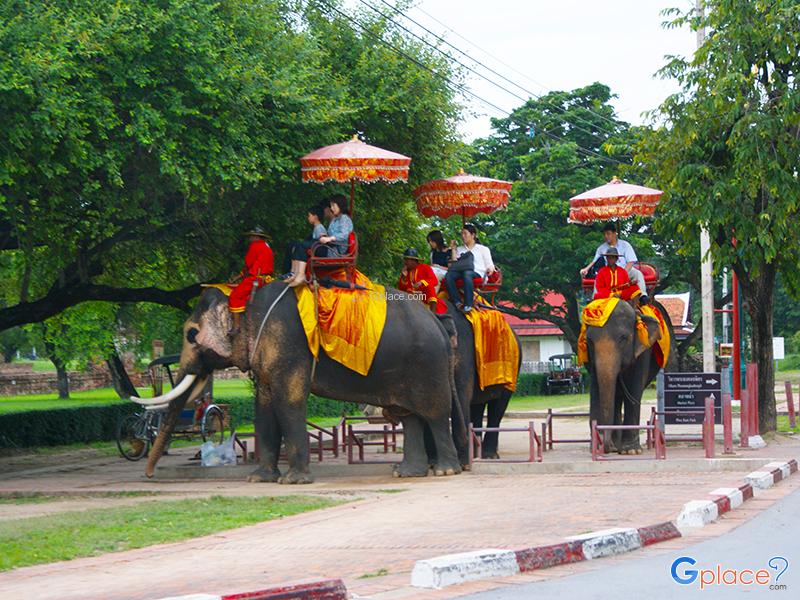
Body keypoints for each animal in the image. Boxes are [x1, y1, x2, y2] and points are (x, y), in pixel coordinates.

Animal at [141, 282, 466, 482]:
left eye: (191, 334)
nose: (149, 475)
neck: (246, 297)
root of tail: (438, 322)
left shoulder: (291, 343)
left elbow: (288, 401)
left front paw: (293, 481)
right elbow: (263, 407)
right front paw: (259, 479)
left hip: (428, 365)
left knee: (435, 414)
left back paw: (445, 472)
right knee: (409, 417)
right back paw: (407, 473)